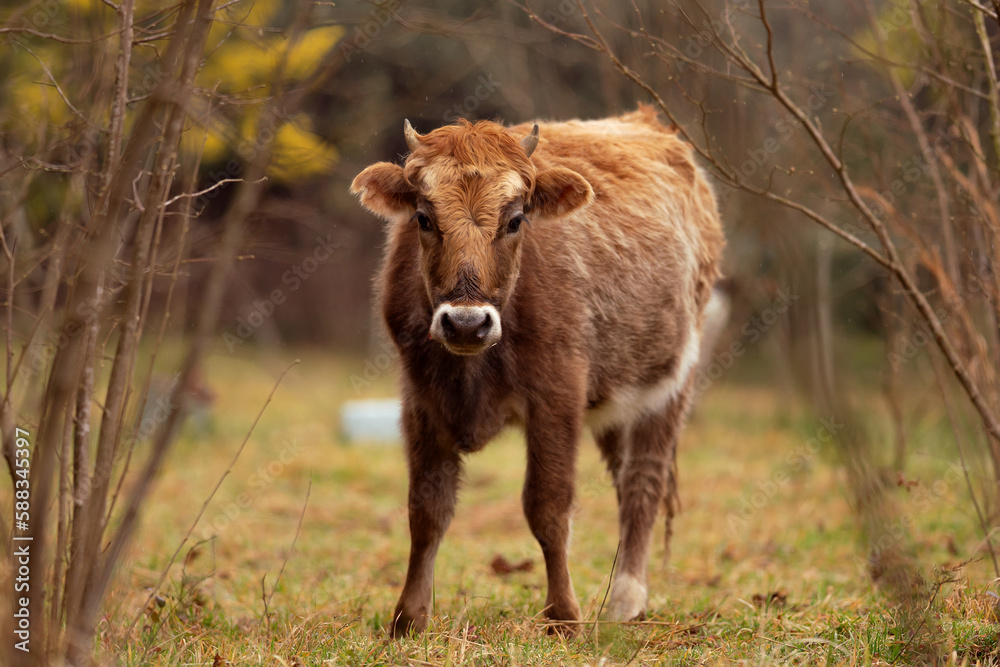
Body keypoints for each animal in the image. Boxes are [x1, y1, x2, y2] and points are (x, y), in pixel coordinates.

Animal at [350, 106, 724, 636]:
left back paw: (626, 599)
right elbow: (426, 509)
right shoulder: (419, 399)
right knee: (624, 477)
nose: (466, 322)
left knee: (642, 484)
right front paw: (409, 617)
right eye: (424, 218)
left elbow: (547, 505)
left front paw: (564, 615)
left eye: (515, 219)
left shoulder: (558, 393)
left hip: (669, 381)